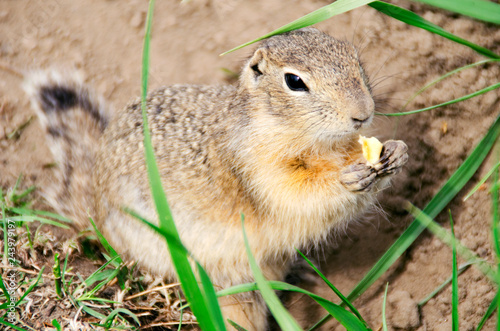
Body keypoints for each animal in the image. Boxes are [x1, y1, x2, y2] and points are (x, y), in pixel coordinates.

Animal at [26, 29, 406, 331]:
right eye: (294, 81)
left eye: (355, 57)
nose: (363, 113)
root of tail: (95, 210)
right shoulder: (259, 170)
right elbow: (299, 193)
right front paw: (348, 177)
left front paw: (397, 151)